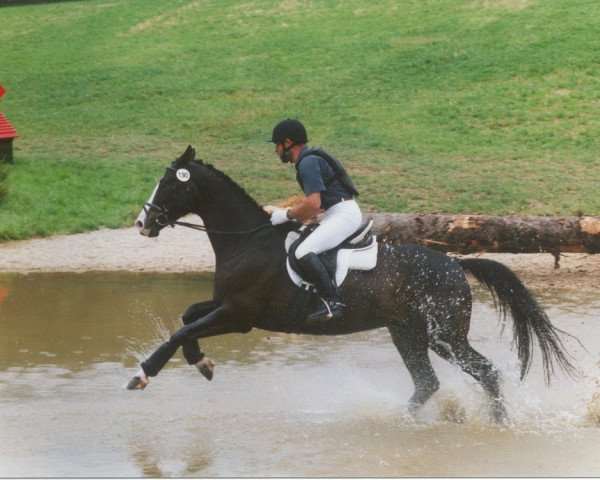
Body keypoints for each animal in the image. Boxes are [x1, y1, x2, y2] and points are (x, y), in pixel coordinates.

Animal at [127, 144, 576, 422]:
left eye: (170, 184)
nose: (142, 224)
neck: (247, 240)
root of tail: (454, 263)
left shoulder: (239, 316)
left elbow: (179, 331)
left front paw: (143, 374)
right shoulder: (226, 306)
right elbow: (188, 318)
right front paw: (201, 363)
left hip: (443, 334)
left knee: (485, 371)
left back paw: (498, 424)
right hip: (408, 332)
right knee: (428, 383)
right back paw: (404, 421)